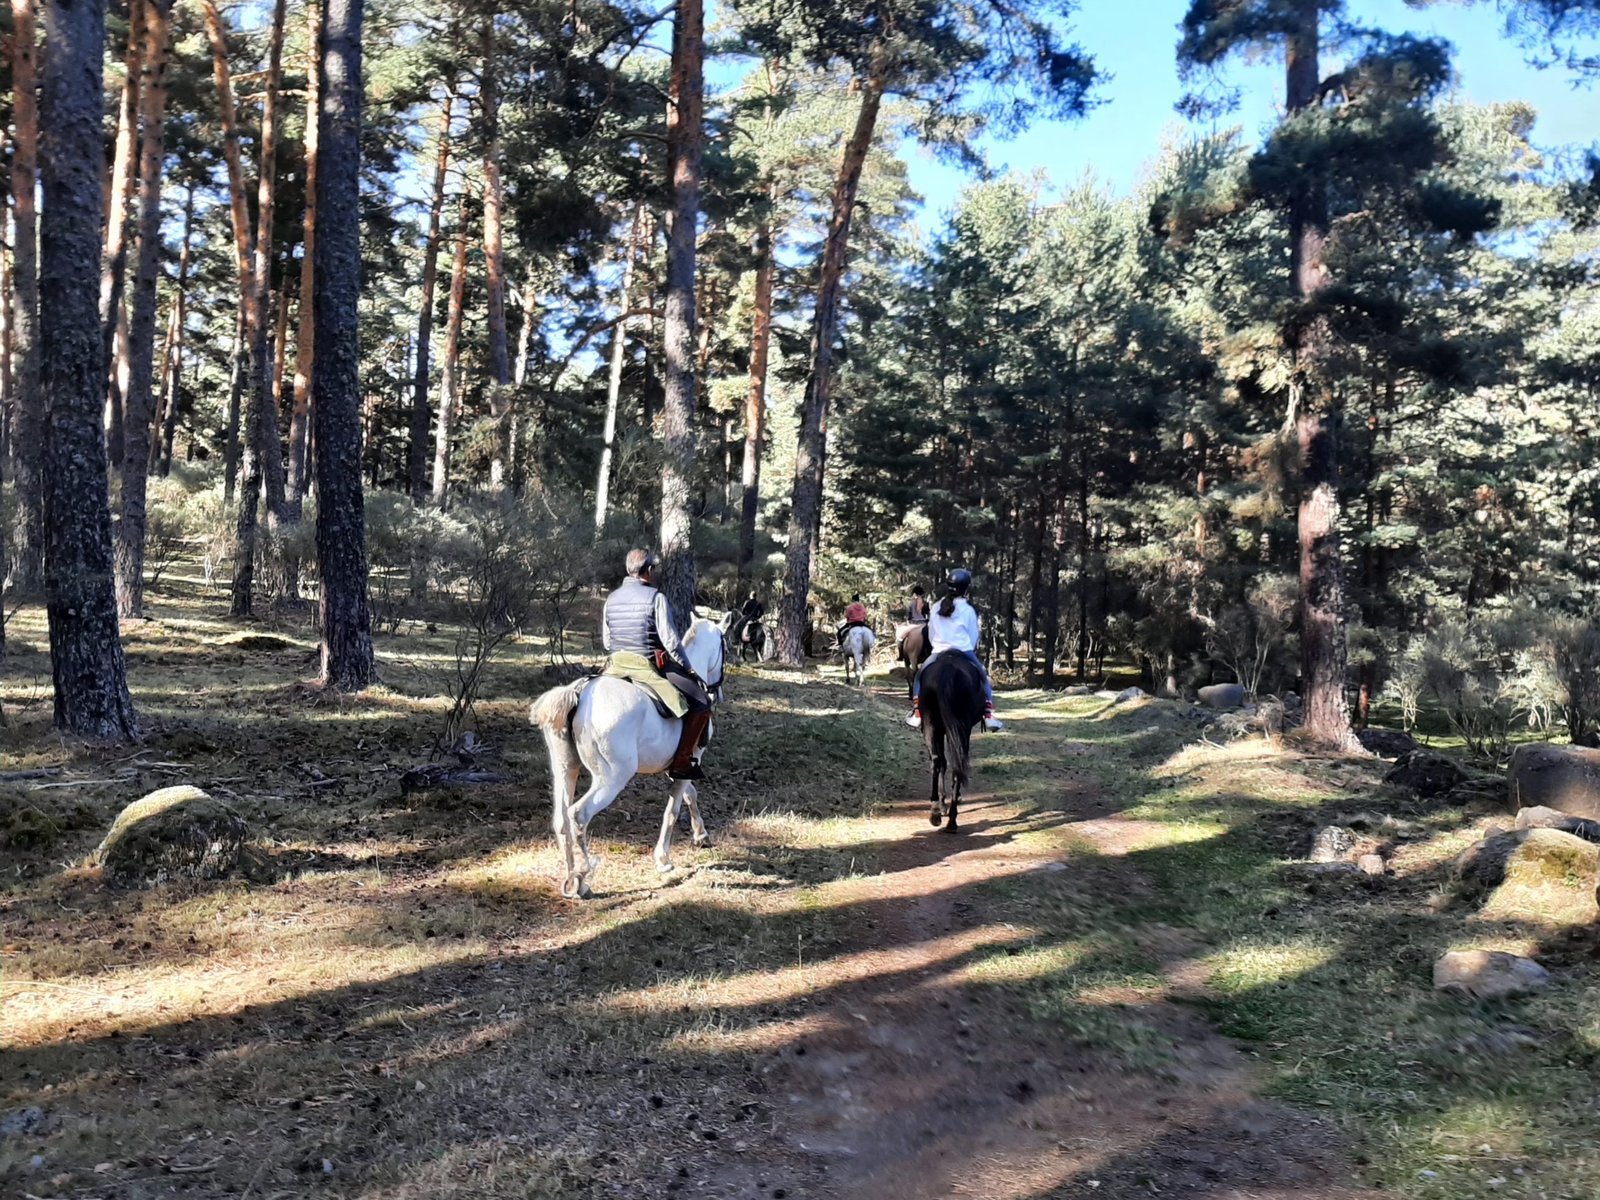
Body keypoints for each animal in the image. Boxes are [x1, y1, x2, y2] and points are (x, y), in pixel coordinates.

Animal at [530, 618, 725, 898]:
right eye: (725, 646)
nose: (717, 693)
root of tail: (579, 692)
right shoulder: (692, 759)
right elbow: (674, 808)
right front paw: (663, 859)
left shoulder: (681, 766)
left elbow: (690, 794)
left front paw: (701, 835)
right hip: (612, 778)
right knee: (578, 815)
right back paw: (582, 877)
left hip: (565, 769)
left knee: (562, 820)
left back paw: (572, 880)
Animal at [919, 651, 985, 833]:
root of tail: (947, 671)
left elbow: (942, 762)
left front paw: (941, 804)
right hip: (959, 728)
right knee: (955, 766)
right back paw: (951, 820)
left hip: (932, 726)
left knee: (938, 761)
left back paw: (936, 812)